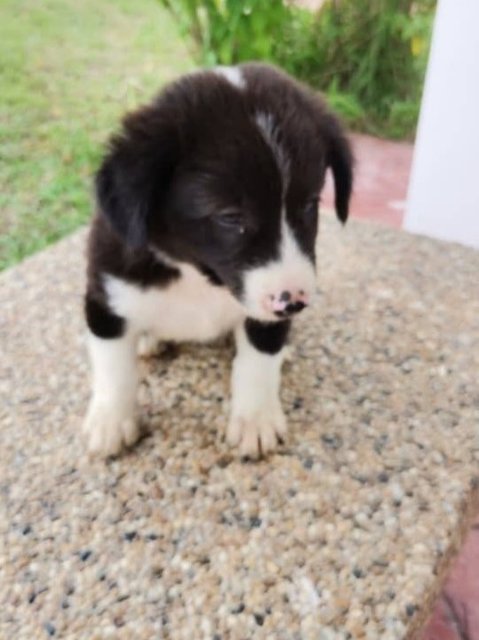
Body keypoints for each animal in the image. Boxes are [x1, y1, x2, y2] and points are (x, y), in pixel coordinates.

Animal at [82, 63, 352, 460]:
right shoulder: (105, 296)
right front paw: (110, 421)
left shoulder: (264, 313)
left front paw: (255, 419)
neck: (198, 278)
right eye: (230, 217)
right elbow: (113, 366)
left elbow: (259, 360)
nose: (294, 303)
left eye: (309, 205)